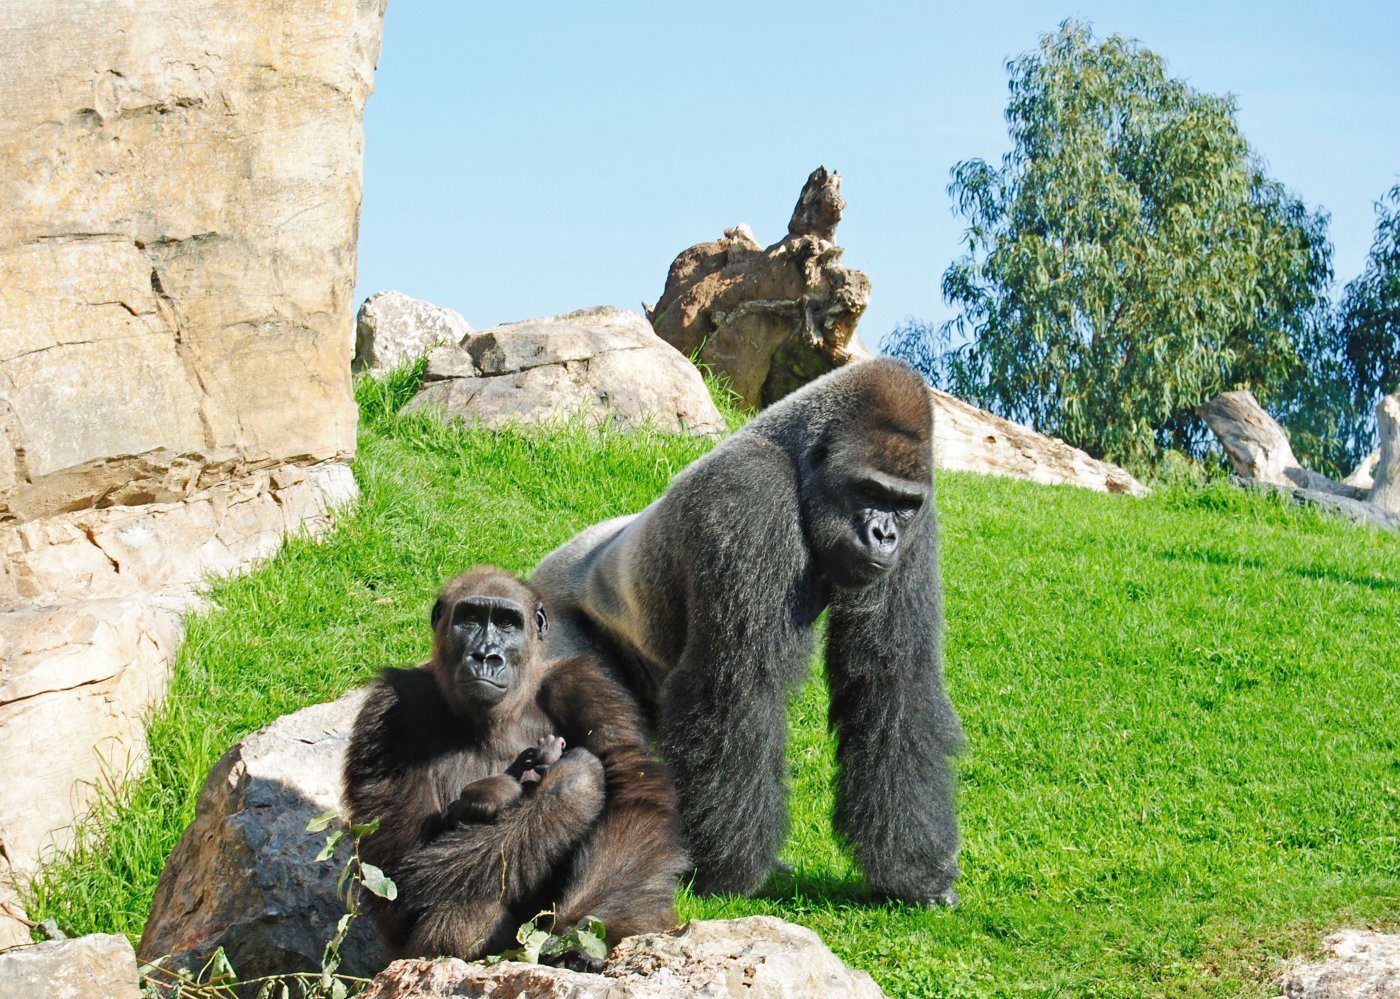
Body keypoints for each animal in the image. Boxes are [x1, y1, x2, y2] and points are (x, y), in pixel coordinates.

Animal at [344, 565, 683, 962]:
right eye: (470, 618)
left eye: (507, 623)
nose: (485, 656)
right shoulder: (391, 710)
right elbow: (399, 871)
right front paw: (571, 789)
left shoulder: (585, 685)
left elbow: (634, 793)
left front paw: (580, 930)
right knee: (469, 909)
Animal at [532, 355, 963, 901]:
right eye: (869, 491)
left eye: (903, 504)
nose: (883, 534)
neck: (797, 461)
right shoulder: (749, 495)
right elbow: (737, 688)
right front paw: (726, 872)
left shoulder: (920, 529)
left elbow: (890, 686)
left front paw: (914, 871)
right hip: (551, 626)